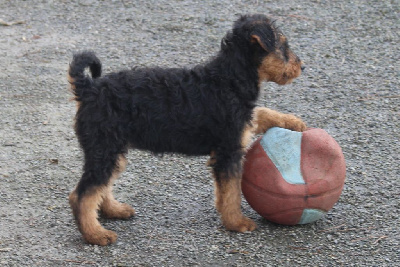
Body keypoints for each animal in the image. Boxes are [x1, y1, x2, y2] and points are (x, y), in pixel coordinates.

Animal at [68, 13, 306, 246]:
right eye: (283, 45)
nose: (302, 66)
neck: (229, 78)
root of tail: (88, 88)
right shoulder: (229, 152)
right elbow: (232, 192)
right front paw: (236, 222)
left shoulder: (240, 127)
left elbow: (261, 113)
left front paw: (293, 122)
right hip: (104, 148)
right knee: (82, 195)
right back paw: (96, 234)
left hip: (112, 150)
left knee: (99, 187)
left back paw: (113, 210)